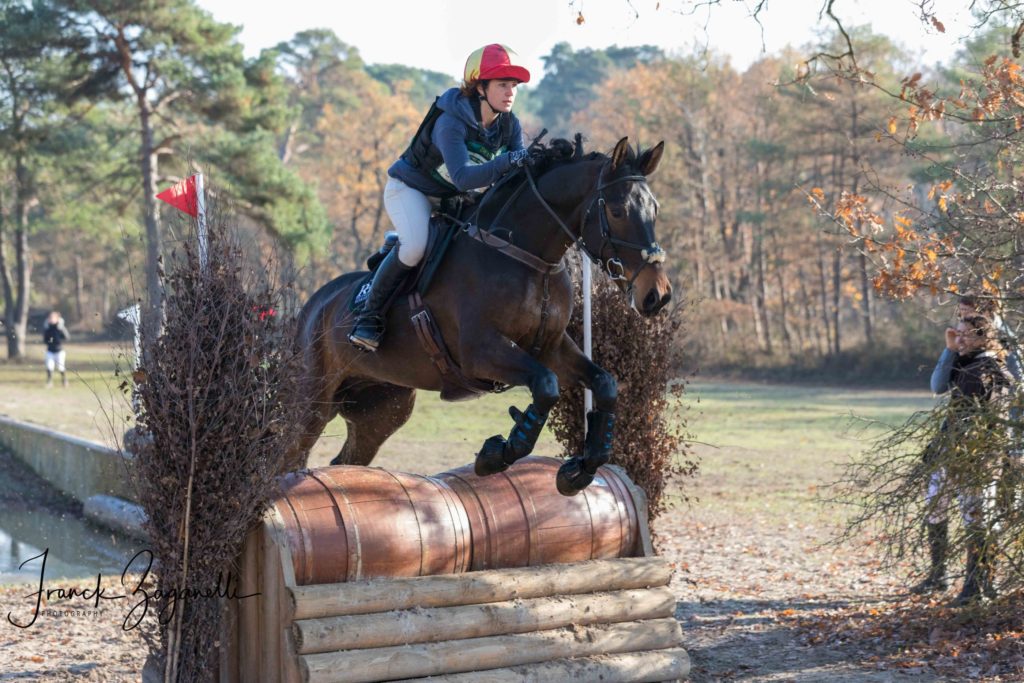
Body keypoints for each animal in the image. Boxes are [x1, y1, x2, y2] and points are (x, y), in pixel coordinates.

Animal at [288, 135, 671, 497]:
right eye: (618, 211)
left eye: (655, 208)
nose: (657, 296)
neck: (529, 257)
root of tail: (313, 304)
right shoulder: (481, 352)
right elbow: (546, 386)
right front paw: (496, 454)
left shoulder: (552, 347)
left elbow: (604, 384)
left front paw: (579, 470)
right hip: (313, 401)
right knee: (291, 453)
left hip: (382, 410)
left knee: (345, 460)